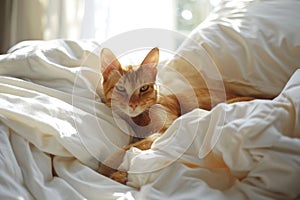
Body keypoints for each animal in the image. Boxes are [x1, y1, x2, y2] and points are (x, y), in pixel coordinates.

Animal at [97, 47, 254, 184]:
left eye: (144, 88)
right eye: (120, 88)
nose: (133, 104)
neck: (138, 120)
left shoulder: (167, 129)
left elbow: (129, 150)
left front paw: (106, 168)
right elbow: (134, 149)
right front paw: (118, 174)